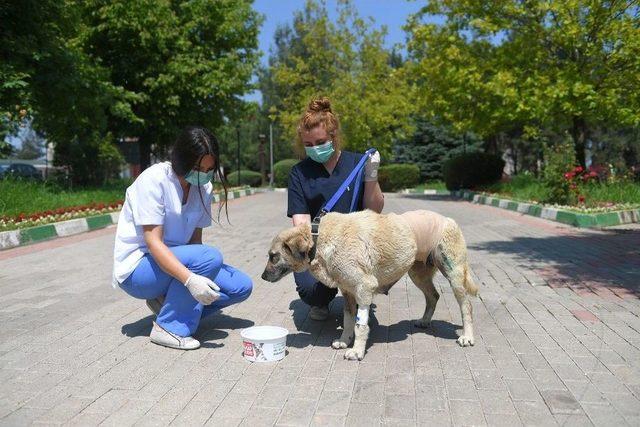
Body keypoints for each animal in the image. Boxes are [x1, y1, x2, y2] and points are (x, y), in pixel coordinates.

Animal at [258, 210, 476, 362]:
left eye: (273, 256)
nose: (262, 276)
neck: (319, 239)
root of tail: (448, 219)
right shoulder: (347, 291)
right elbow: (348, 320)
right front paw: (345, 340)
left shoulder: (364, 288)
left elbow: (360, 324)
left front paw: (356, 351)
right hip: (417, 273)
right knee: (433, 296)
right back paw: (424, 320)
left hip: (454, 274)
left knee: (466, 305)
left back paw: (467, 336)